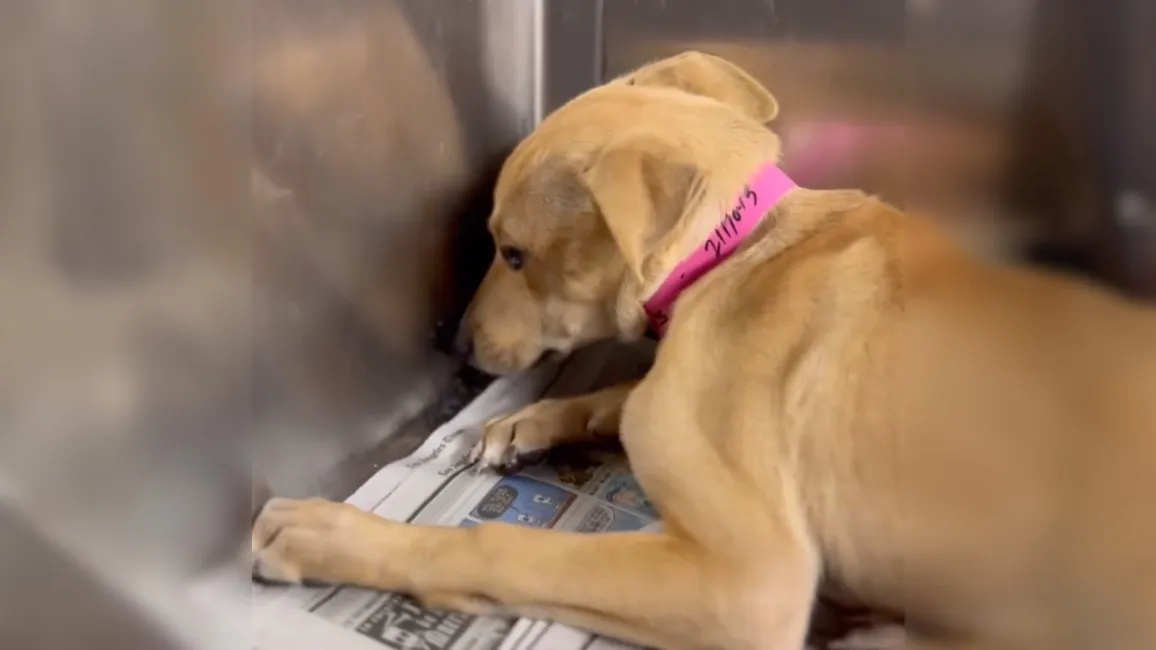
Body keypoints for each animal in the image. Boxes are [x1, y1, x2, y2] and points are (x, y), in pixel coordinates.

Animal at [253, 51, 1156, 647]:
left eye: (512, 252)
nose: (458, 345)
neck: (732, 252)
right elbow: (618, 397)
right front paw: (525, 426)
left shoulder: (750, 582)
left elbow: (498, 544)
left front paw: (330, 537)